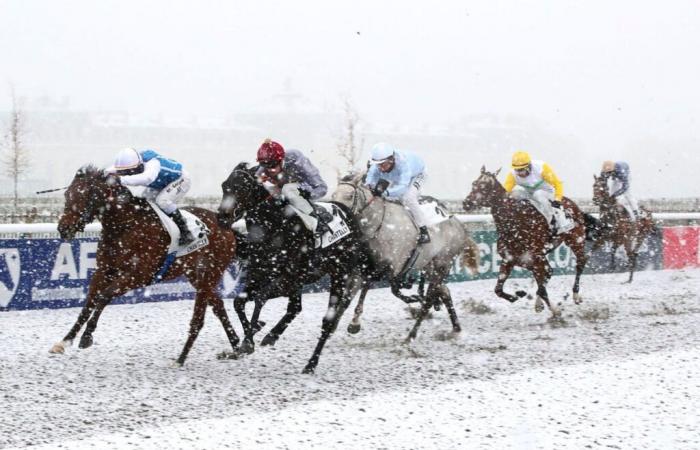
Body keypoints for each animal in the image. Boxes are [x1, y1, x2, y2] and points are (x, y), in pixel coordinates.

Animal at [49, 165, 241, 366]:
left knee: (202, 316)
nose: (64, 228)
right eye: (67, 195)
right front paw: (65, 341)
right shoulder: (104, 271)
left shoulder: (138, 275)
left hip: (209, 274)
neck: (125, 226)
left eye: (85, 196)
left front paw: (87, 336)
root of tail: (226, 225)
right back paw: (236, 347)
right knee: (218, 306)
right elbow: (89, 303)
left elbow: (104, 296)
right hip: (196, 276)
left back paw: (183, 358)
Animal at [217, 163, 372, 374]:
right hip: (300, 281)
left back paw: (311, 364)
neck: (273, 227)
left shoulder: (283, 279)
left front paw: (248, 341)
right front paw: (249, 338)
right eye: (224, 186)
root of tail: (351, 216)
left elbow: (260, 299)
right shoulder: (260, 275)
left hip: (339, 274)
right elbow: (238, 302)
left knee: (328, 320)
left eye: (243, 187)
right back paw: (271, 335)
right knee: (295, 307)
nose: (222, 217)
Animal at [462, 165, 592, 316]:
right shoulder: (511, 259)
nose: (466, 203)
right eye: (474, 184)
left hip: (575, 240)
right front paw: (517, 296)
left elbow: (543, 284)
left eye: (486, 186)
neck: (515, 225)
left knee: (580, 262)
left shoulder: (536, 258)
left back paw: (575, 295)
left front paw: (554, 309)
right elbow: (498, 290)